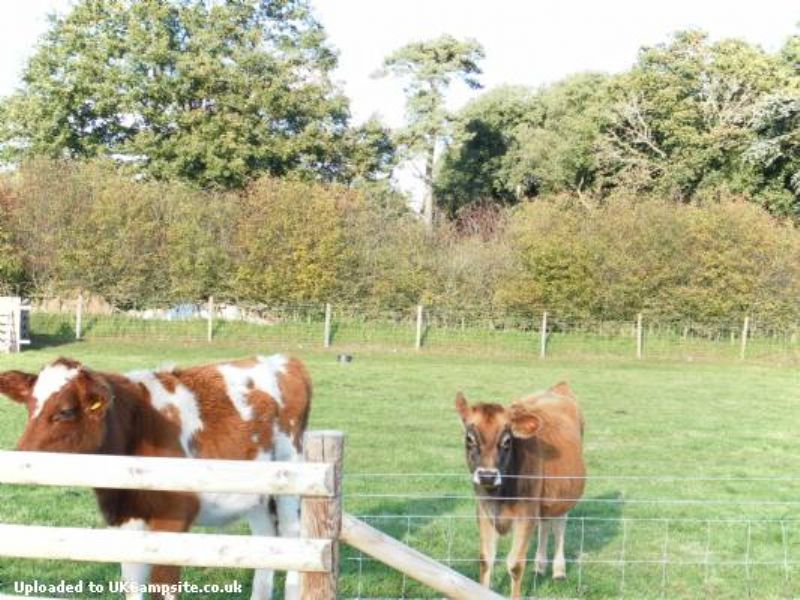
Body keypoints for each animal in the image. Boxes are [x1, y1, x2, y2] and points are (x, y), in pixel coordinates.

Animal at [0, 354, 312, 596]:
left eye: (65, 411)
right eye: (29, 407)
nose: (18, 457)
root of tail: (286, 361)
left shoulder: (172, 522)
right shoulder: (125, 521)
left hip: (290, 480)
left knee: (292, 544)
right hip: (257, 498)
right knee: (267, 545)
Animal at [456, 382, 588, 596]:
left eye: (507, 441)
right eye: (469, 438)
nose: (487, 475)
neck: (500, 497)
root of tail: (558, 387)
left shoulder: (525, 514)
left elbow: (515, 565)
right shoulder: (483, 511)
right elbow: (486, 560)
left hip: (563, 497)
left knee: (559, 525)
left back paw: (558, 570)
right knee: (545, 524)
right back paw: (539, 566)